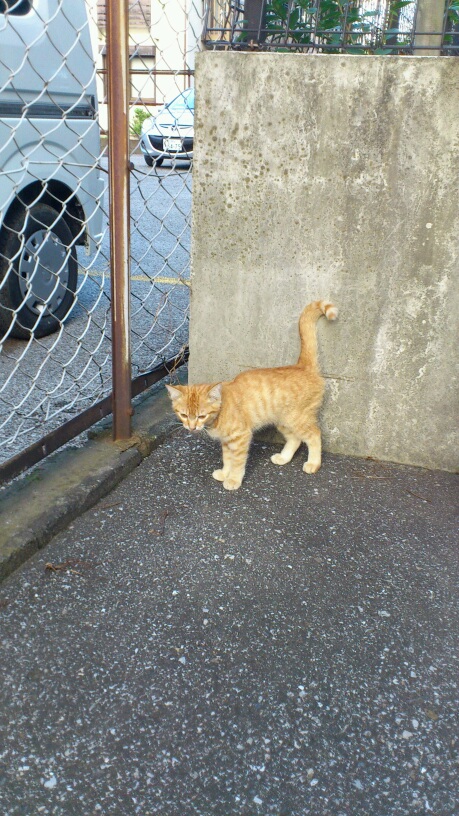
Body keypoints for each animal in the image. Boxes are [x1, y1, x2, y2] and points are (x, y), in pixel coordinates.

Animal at [166, 300, 338, 490]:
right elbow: (227, 459)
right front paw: (225, 473)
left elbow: (237, 462)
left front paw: (233, 479)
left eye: (201, 416)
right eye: (183, 415)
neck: (221, 412)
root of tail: (302, 366)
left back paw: (313, 463)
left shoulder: (241, 437)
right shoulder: (227, 442)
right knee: (295, 439)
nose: (191, 427)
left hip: (297, 419)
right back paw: (284, 458)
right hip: (283, 422)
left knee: (314, 435)